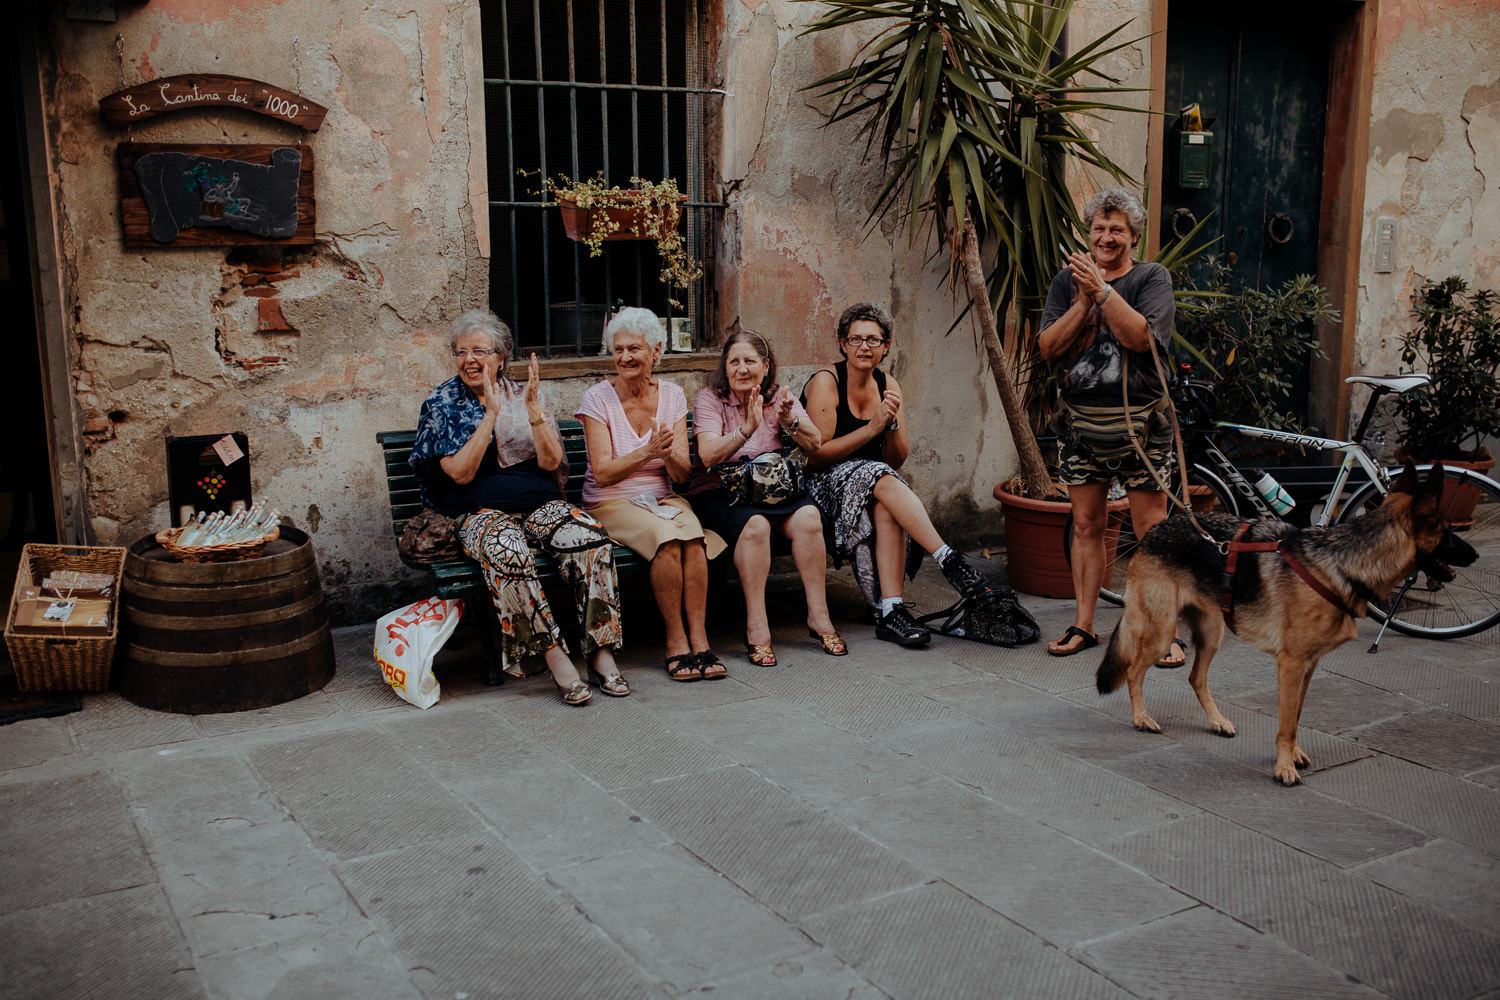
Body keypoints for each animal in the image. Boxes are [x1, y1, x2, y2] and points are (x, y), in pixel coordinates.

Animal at [1098, 464, 1470, 785]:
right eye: (1446, 531)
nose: (1475, 555)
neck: (1342, 563)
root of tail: (1156, 529)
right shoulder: (1290, 664)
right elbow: (1286, 722)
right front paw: (1284, 768)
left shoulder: (1309, 665)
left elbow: (1296, 717)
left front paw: (1293, 755)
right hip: (1162, 632)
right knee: (1133, 670)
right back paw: (1141, 718)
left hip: (1212, 632)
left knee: (1195, 677)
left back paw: (1217, 721)